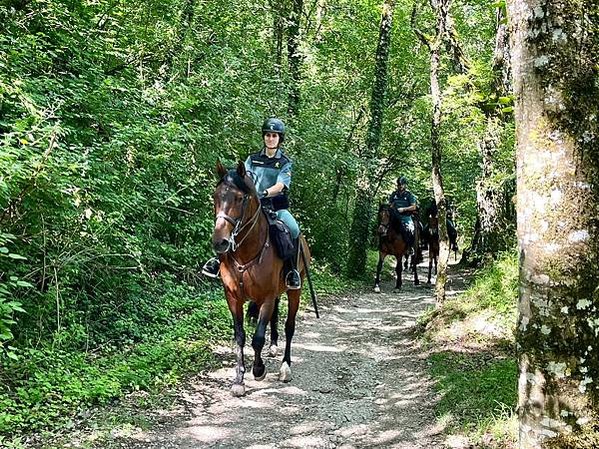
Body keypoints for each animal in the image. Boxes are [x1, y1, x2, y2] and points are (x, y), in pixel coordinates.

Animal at [213, 161, 312, 396]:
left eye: (240, 198)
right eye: (216, 196)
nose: (220, 242)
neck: (247, 253)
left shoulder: (266, 297)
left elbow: (257, 337)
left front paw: (258, 370)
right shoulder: (233, 298)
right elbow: (240, 336)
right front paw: (239, 380)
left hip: (295, 290)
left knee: (289, 326)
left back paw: (285, 367)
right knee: (274, 320)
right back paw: (274, 347)